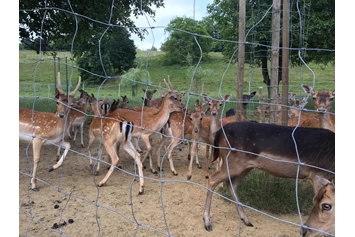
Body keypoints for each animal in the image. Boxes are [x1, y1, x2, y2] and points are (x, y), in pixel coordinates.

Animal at [204, 121, 336, 231]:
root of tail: (219, 132)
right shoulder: (319, 173)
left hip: (245, 166)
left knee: (232, 183)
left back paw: (246, 220)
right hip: (233, 163)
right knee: (213, 178)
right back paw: (207, 223)